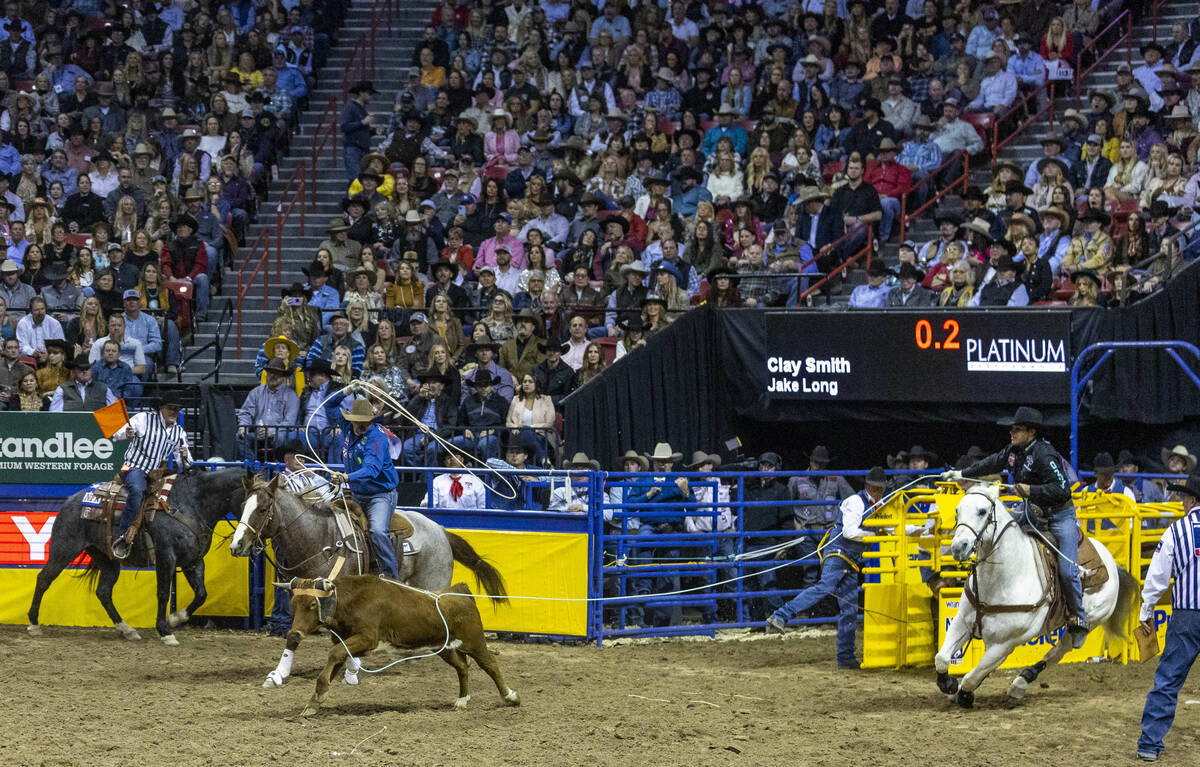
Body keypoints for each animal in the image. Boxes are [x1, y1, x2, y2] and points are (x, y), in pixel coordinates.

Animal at [27, 468, 247, 648]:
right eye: (249, 501)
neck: (191, 503)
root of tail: (70, 500)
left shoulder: (193, 561)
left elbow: (201, 594)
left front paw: (175, 618)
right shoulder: (166, 556)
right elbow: (163, 593)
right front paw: (165, 631)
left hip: (107, 559)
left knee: (103, 592)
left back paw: (127, 629)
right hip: (64, 549)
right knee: (43, 579)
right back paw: (33, 624)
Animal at [229, 475, 506, 691]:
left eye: (262, 509)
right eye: (242, 505)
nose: (237, 545)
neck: (319, 539)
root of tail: (441, 530)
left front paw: (352, 670)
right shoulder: (301, 596)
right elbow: (294, 635)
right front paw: (277, 674)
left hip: (432, 583)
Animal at [289, 573, 520, 715]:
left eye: (312, 604)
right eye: (293, 603)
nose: (294, 634)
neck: (351, 601)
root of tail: (461, 594)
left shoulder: (367, 638)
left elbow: (334, 653)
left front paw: (319, 696)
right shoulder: (347, 642)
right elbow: (335, 660)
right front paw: (314, 702)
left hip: (474, 641)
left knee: (489, 664)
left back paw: (510, 697)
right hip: (444, 648)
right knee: (462, 667)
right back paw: (462, 700)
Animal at [931, 484, 1137, 710]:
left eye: (982, 511)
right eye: (957, 510)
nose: (959, 547)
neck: (1001, 580)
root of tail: (1112, 563)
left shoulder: (1004, 644)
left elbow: (973, 676)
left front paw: (964, 694)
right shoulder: (962, 621)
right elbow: (942, 658)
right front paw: (949, 683)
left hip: (1088, 623)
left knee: (1056, 652)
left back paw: (1020, 683)